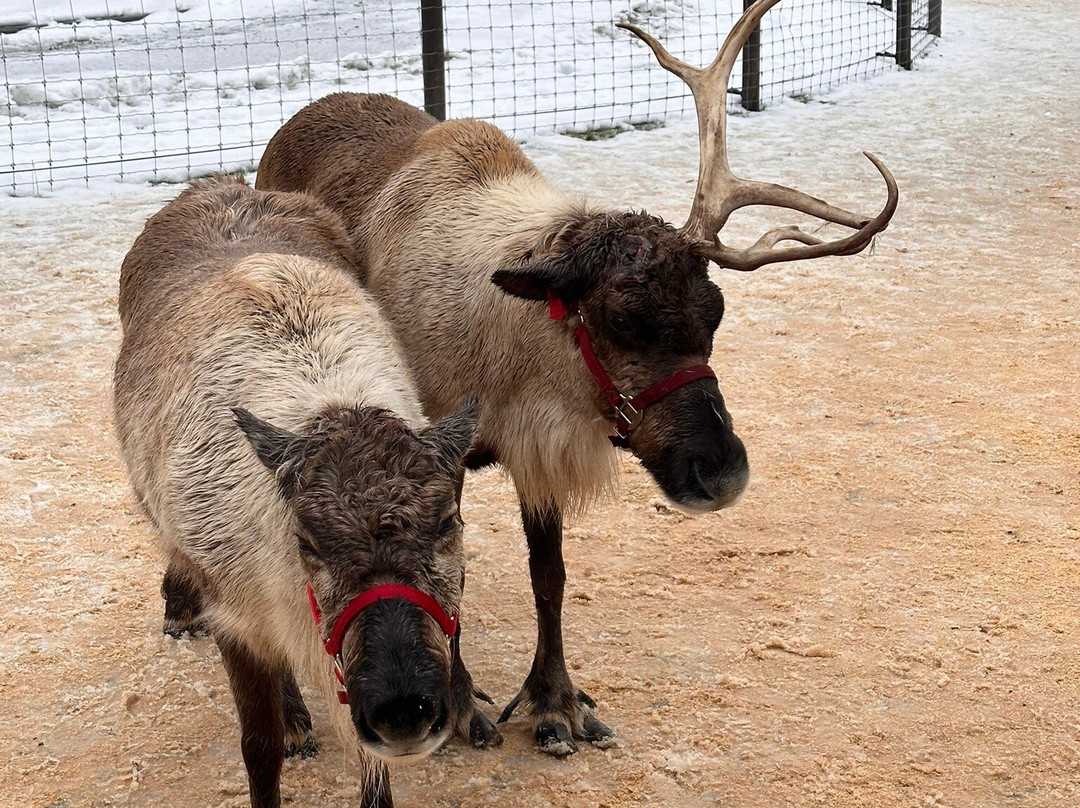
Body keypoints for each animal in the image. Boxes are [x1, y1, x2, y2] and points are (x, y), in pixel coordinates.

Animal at [113, 175, 480, 807]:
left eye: (447, 522)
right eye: (307, 541)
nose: (405, 708)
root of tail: (221, 183)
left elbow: (374, 778)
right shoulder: (235, 616)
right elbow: (258, 750)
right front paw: (283, 729)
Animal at [250, 0, 899, 756]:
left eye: (715, 313)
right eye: (620, 319)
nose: (723, 471)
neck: (507, 363)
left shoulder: (539, 450)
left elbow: (550, 576)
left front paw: (556, 703)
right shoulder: (441, 452)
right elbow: (450, 577)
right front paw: (464, 705)